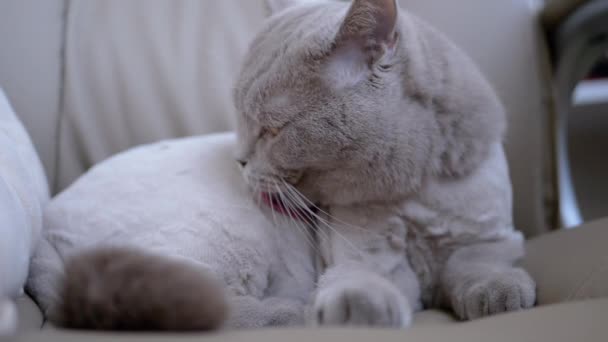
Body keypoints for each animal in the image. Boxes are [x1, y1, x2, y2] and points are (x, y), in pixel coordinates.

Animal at [39, 0, 532, 332]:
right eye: (242, 122)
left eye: (271, 130)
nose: (239, 160)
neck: (412, 192)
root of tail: (47, 230)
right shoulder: (365, 254)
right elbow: (364, 281)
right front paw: (356, 312)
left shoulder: (493, 236)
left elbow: (476, 266)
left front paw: (501, 295)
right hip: (227, 236)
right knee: (191, 304)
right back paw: (290, 314)